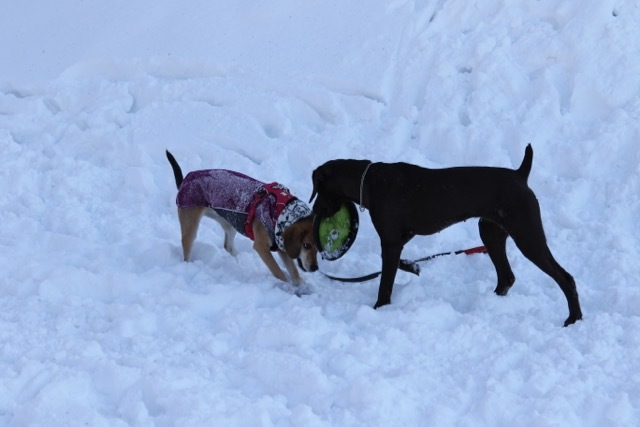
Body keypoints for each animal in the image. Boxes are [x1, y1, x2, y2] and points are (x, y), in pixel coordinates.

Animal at [166, 151, 318, 288]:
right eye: (306, 245)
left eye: (318, 248)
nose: (315, 268)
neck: (282, 211)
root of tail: (185, 180)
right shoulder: (261, 247)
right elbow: (279, 272)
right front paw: (288, 287)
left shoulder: (281, 247)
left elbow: (294, 272)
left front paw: (302, 287)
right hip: (190, 226)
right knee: (187, 250)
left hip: (229, 223)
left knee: (228, 246)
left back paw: (239, 261)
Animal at [310, 145, 584, 326]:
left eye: (318, 188)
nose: (314, 211)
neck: (368, 182)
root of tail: (520, 175)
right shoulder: (401, 238)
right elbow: (399, 264)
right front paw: (412, 267)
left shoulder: (390, 241)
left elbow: (385, 282)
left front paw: (379, 308)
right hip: (490, 232)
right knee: (507, 277)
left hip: (527, 236)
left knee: (565, 278)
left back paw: (574, 318)